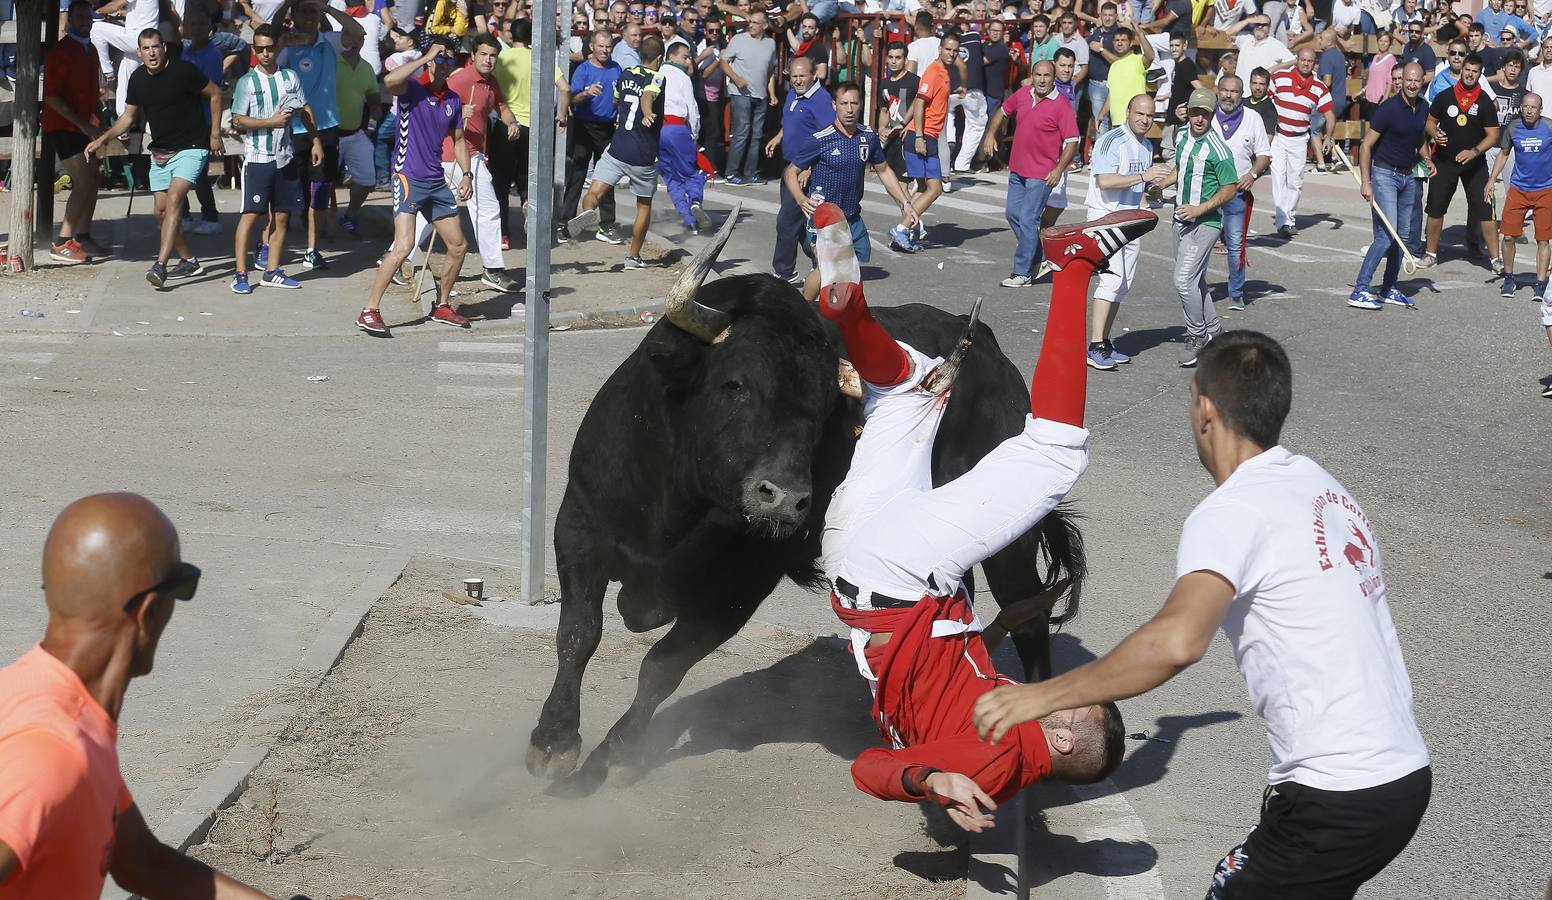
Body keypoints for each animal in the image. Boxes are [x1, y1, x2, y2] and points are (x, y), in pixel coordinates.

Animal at [527, 229, 1086, 794]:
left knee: (1028, 615)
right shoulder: (578, 529)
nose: (787, 498)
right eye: (735, 384)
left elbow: (662, 665)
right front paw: (553, 741)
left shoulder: (740, 589)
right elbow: (578, 634)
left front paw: (614, 756)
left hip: (1009, 536)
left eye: (821, 408)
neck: (675, 514)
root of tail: (994, 355)